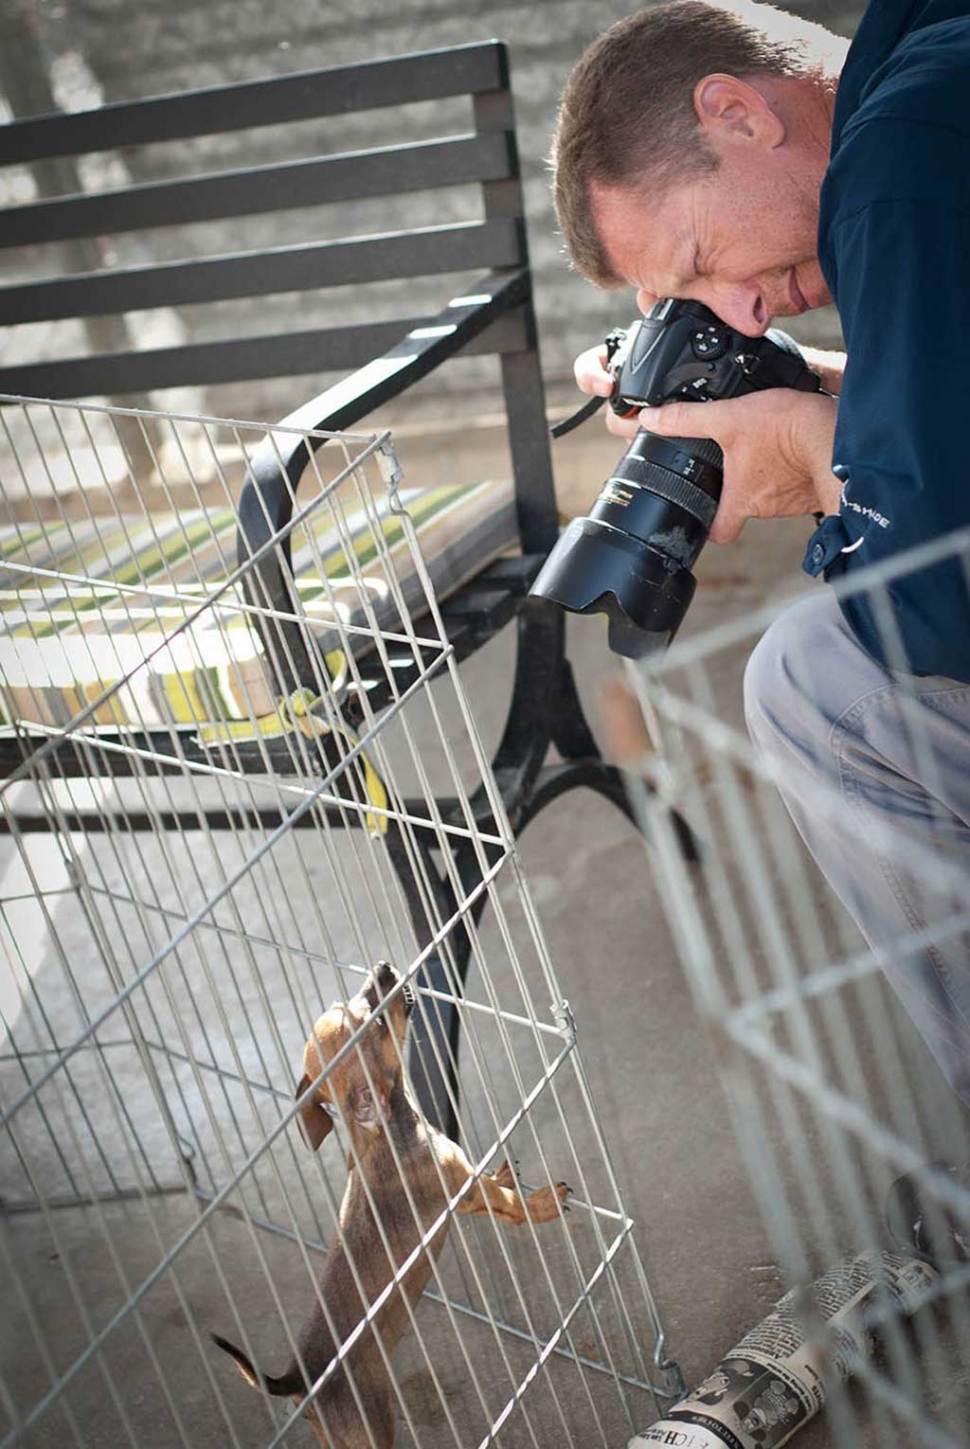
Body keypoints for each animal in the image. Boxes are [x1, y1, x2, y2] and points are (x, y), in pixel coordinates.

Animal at [211, 962, 568, 1449]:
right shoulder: (465, 1191)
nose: (382, 967)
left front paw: (502, 1173)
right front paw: (545, 1202)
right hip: (373, 1426)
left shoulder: (467, 1188)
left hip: (331, 1436)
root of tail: (298, 1379)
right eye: (377, 1023)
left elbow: (490, 1183)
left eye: (353, 997)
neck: (390, 1130)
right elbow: (511, 1206)